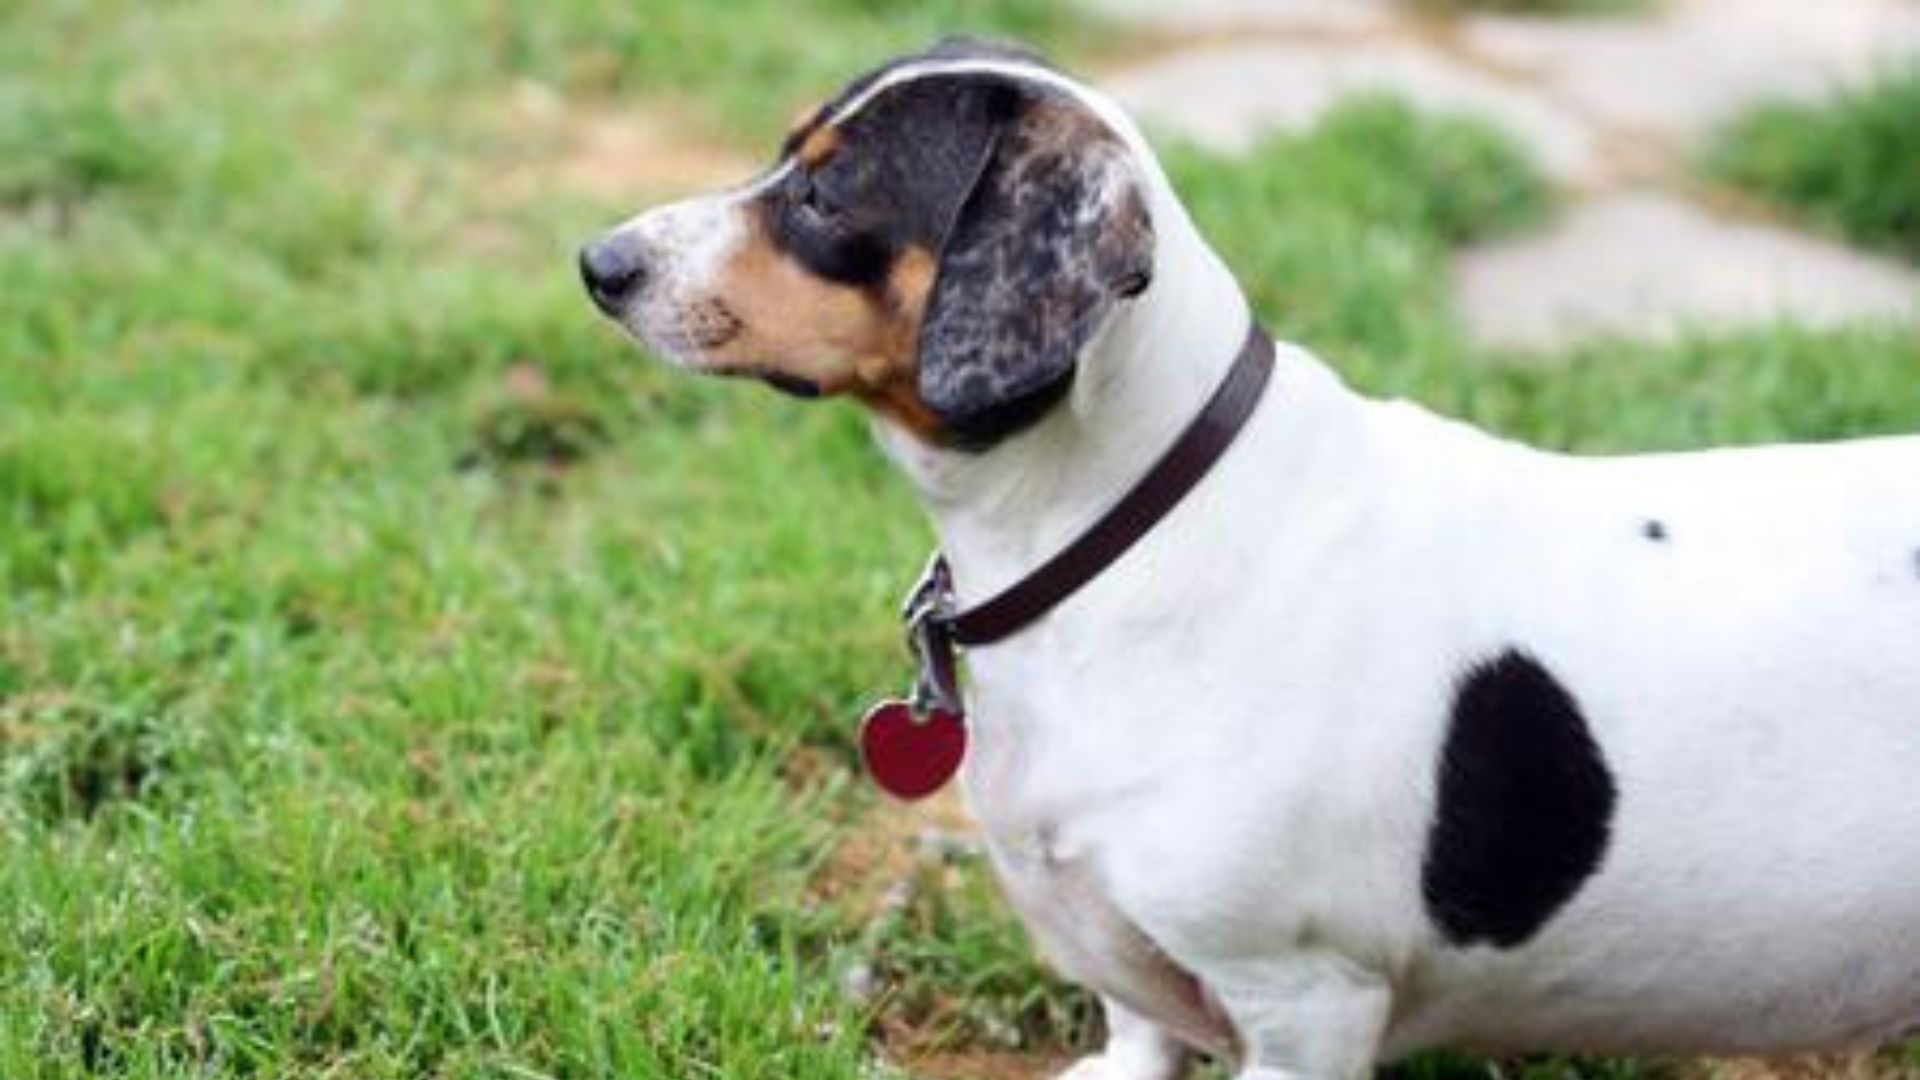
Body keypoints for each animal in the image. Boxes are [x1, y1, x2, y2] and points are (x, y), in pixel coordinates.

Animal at [576, 37, 1920, 1076]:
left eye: (824, 196)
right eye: (786, 153)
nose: (598, 263)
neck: (1127, 533)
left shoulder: (1305, 997)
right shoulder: (1136, 976)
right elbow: (1137, 1035)